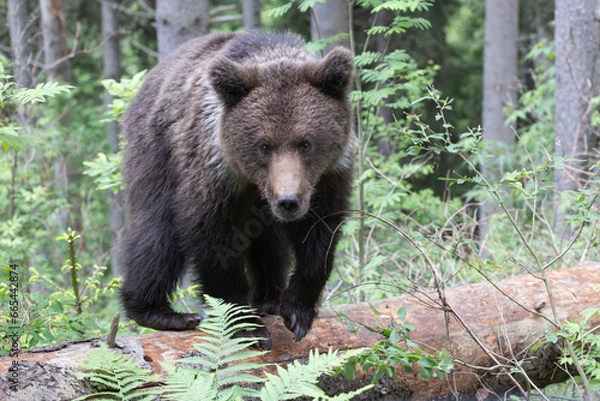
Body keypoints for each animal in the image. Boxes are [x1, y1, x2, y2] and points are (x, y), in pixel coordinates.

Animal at [121, 32, 354, 346]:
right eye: (264, 145)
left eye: (305, 143)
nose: (288, 201)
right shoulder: (213, 172)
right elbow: (212, 239)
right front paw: (246, 326)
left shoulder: (327, 178)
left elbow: (319, 236)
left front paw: (297, 312)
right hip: (157, 150)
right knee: (157, 229)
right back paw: (159, 312)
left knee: (269, 241)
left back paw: (269, 297)